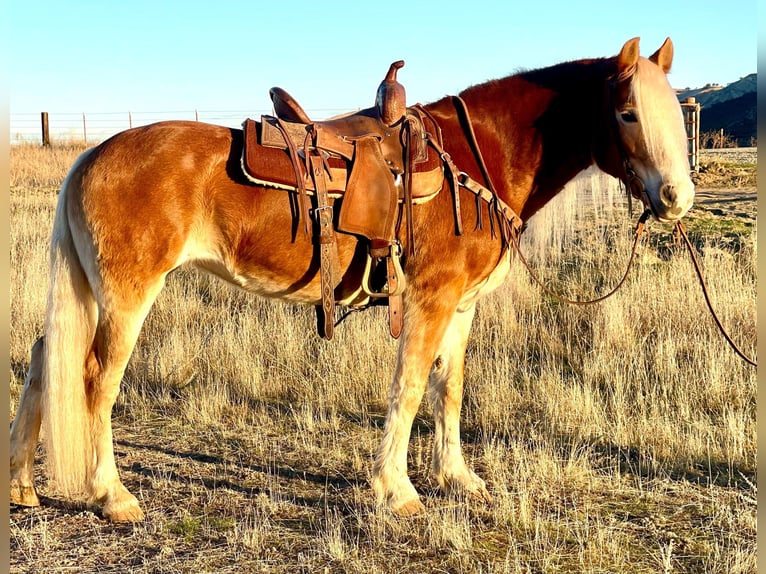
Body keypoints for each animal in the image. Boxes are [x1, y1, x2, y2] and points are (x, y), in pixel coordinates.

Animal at [10, 36, 696, 520]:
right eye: (628, 113)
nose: (677, 198)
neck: (473, 161)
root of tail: (89, 156)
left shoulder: (462, 307)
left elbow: (448, 391)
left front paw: (457, 478)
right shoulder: (430, 301)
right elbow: (411, 389)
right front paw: (398, 489)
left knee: (45, 358)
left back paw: (20, 483)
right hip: (126, 298)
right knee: (94, 380)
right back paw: (112, 496)